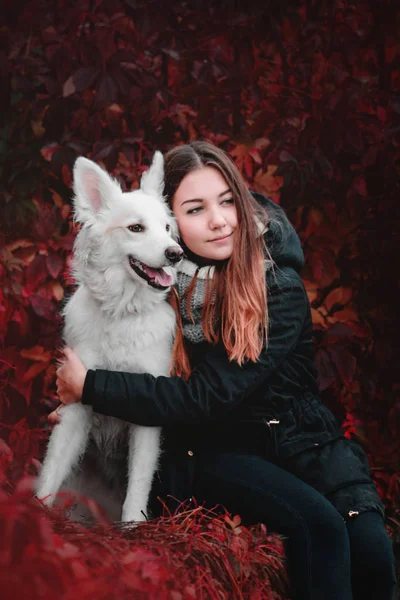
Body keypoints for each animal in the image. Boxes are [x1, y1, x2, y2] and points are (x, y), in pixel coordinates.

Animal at [35, 152, 182, 524]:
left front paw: (132, 531)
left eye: (167, 228)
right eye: (136, 228)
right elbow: (51, 473)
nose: (175, 253)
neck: (122, 314)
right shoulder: (75, 405)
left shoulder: (147, 417)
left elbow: (138, 489)